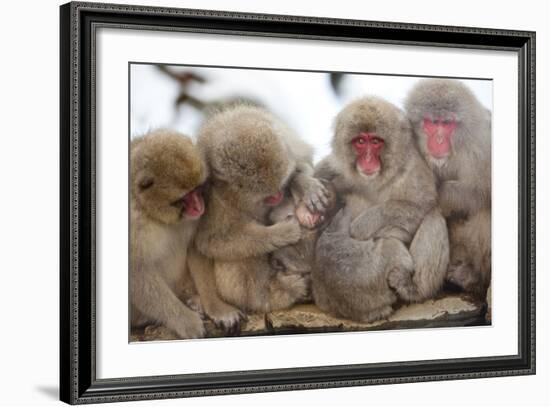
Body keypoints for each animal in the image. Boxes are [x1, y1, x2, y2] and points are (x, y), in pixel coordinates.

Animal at [130, 129, 208, 340]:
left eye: (197, 190)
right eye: (185, 197)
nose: (200, 206)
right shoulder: (134, 223)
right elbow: (137, 270)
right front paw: (184, 320)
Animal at [193, 105, 332, 326]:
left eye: (281, 185)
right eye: (266, 195)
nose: (278, 195)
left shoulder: (291, 144)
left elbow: (303, 163)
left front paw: (303, 184)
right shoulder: (214, 196)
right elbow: (212, 241)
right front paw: (282, 233)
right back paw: (275, 293)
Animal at [312, 97, 450, 324]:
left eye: (376, 141)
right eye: (360, 141)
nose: (368, 160)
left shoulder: (412, 168)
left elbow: (421, 206)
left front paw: (363, 225)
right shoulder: (333, 164)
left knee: (433, 217)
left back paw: (415, 289)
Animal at [408, 79, 494, 298]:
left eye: (446, 124)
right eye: (432, 122)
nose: (438, 140)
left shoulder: (481, 147)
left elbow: (481, 192)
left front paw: (441, 196)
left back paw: (474, 278)